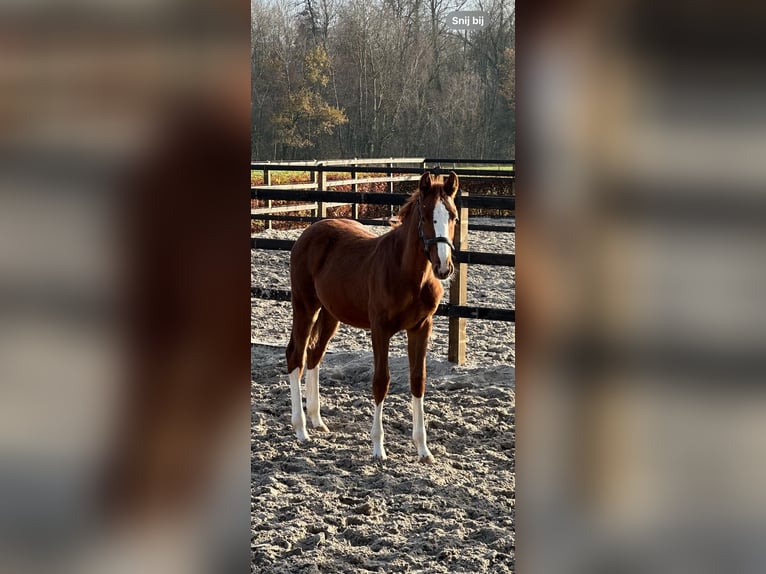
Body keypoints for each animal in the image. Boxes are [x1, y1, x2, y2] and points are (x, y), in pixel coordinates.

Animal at [286, 171, 456, 464]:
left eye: (453, 216)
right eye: (425, 217)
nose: (443, 267)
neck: (407, 274)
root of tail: (308, 233)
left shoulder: (422, 327)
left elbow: (418, 380)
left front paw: (423, 449)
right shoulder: (380, 329)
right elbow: (381, 381)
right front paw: (378, 447)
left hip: (330, 313)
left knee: (314, 353)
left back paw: (317, 420)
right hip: (305, 305)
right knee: (296, 356)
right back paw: (301, 429)